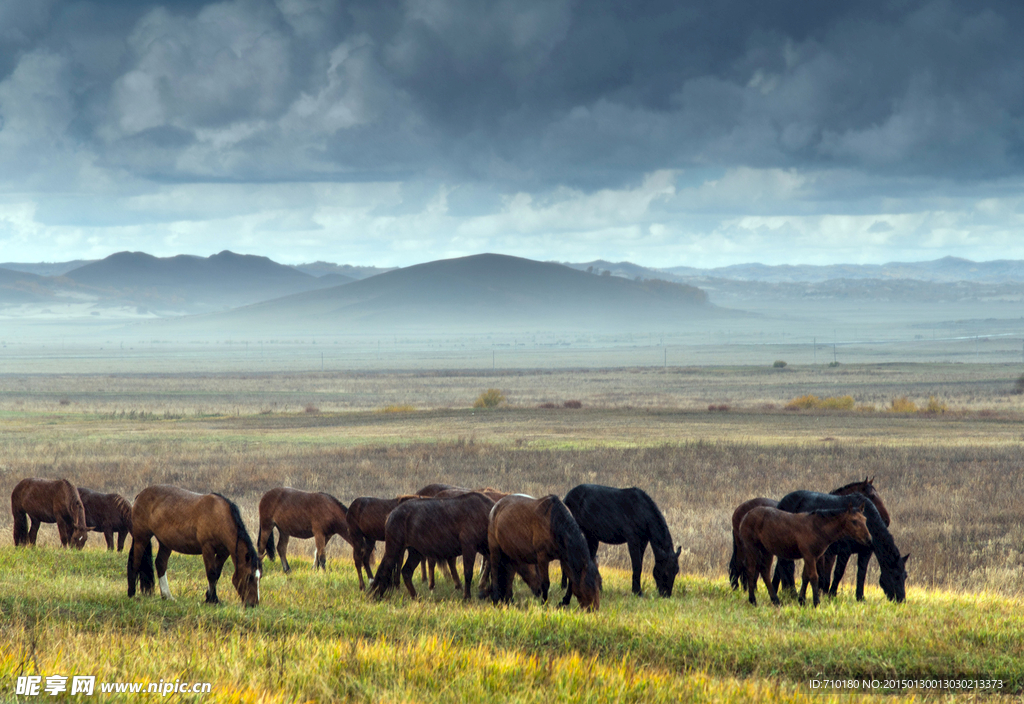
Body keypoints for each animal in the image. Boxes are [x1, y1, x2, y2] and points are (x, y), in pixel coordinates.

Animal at [127, 485, 261, 607]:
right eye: (249, 577)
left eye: (260, 577)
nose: (254, 604)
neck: (219, 515)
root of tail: (140, 495)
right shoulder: (207, 548)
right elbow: (211, 574)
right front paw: (213, 600)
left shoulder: (223, 552)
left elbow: (217, 574)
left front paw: (210, 597)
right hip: (141, 538)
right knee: (136, 562)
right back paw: (131, 594)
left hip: (165, 543)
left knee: (160, 564)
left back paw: (167, 596)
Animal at [738, 503, 871, 607]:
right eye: (854, 521)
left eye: (865, 519)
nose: (869, 539)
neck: (816, 528)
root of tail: (746, 515)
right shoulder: (809, 556)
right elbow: (813, 577)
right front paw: (816, 602)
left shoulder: (814, 557)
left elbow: (805, 577)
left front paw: (802, 600)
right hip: (752, 547)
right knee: (751, 570)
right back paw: (753, 600)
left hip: (767, 551)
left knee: (765, 571)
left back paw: (776, 600)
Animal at [776, 489, 908, 602]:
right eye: (895, 576)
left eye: (905, 576)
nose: (901, 599)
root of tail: (781, 502)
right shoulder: (845, 552)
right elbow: (838, 573)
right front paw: (831, 594)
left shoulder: (865, 553)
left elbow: (861, 573)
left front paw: (860, 597)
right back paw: (791, 593)